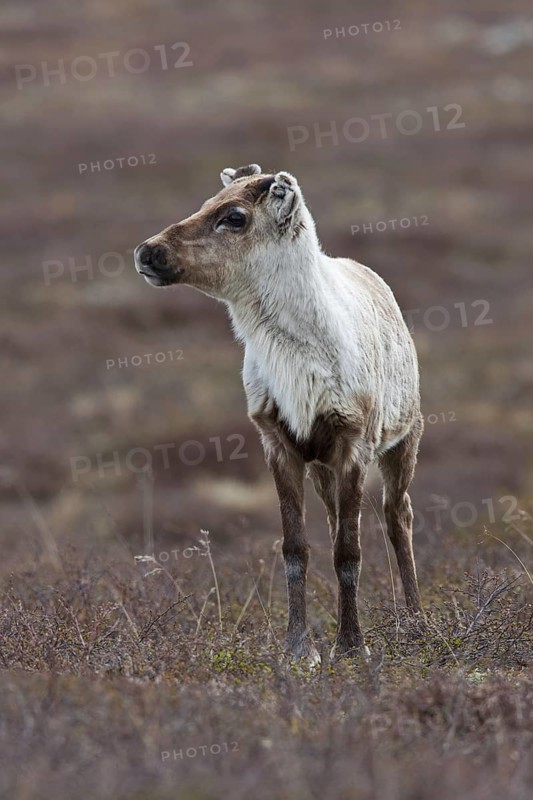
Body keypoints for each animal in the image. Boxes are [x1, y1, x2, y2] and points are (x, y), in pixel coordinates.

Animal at [134, 163, 424, 663]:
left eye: (234, 216)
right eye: (207, 201)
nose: (147, 251)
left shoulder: (354, 441)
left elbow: (349, 553)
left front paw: (352, 646)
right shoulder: (278, 441)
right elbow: (296, 549)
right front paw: (299, 648)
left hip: (404, 439)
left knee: (397, 515)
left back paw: (415, 622)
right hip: (323, 466)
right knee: (336, 520)